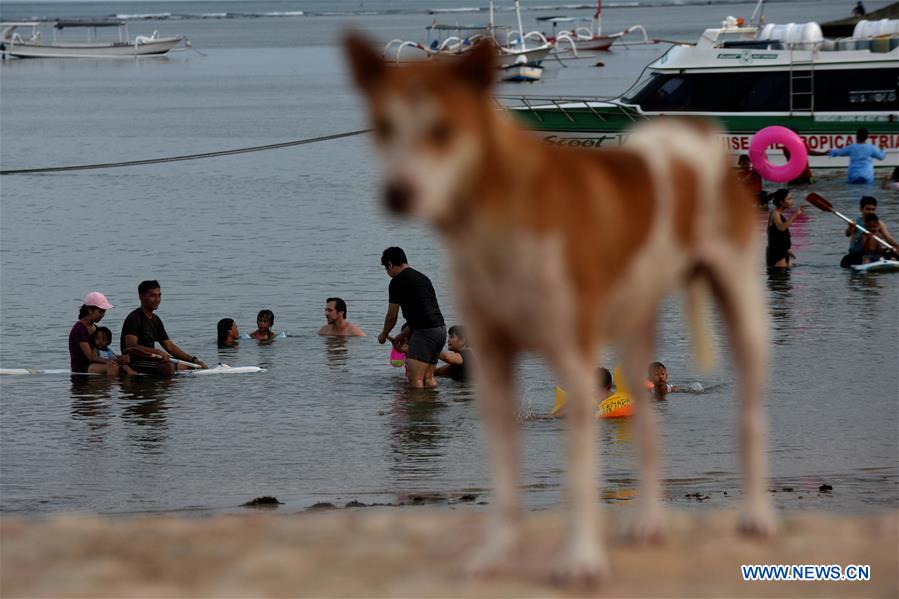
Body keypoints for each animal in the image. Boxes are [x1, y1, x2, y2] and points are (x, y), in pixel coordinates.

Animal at [342, 36, 776, 580]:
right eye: (382, 126)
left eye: (442, 129)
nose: (398, 192)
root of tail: (695, 135)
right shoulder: (496, 359)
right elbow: (505, 473)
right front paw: (497, 551)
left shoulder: (571, 356)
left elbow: (580, 472)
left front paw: (580, 558)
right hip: (637, 324)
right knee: (650, 434)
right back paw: (647, 523)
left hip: (742, 311)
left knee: (750, 416)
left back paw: (756, 515)